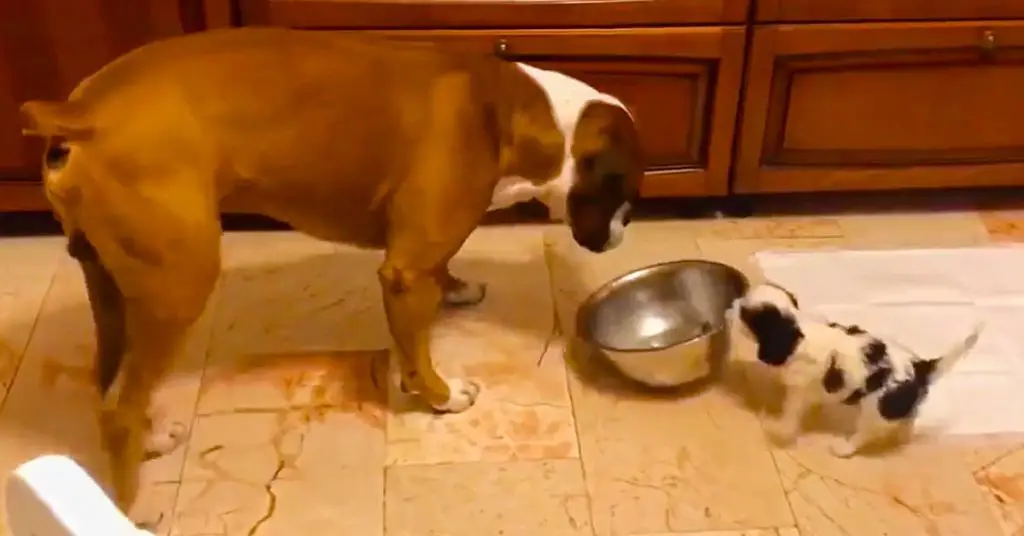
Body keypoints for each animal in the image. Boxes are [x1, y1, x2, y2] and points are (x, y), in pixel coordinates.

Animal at [18, 26, 638, 512]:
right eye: (627, 192)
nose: (622, 231)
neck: (505, 112)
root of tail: (81, 114)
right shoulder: (405, 272)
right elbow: (417, 349)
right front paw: (439, 394)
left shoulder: (421, 253)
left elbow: (439, 275)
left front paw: (455, 288)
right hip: (178, 287)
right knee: (119, 409)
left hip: (112, 288)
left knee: (109, 381)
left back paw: (149, 438)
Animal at [729, 284, 983, 457]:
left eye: (744, 314)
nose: (732, 304)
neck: (796, 330)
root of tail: (920, 368)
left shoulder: (798, 391)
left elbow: (790, 414)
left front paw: (777, 429)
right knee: (908, 418)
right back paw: (903, 437)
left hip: (874, 410)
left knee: (866, 433)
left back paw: (844, 448)